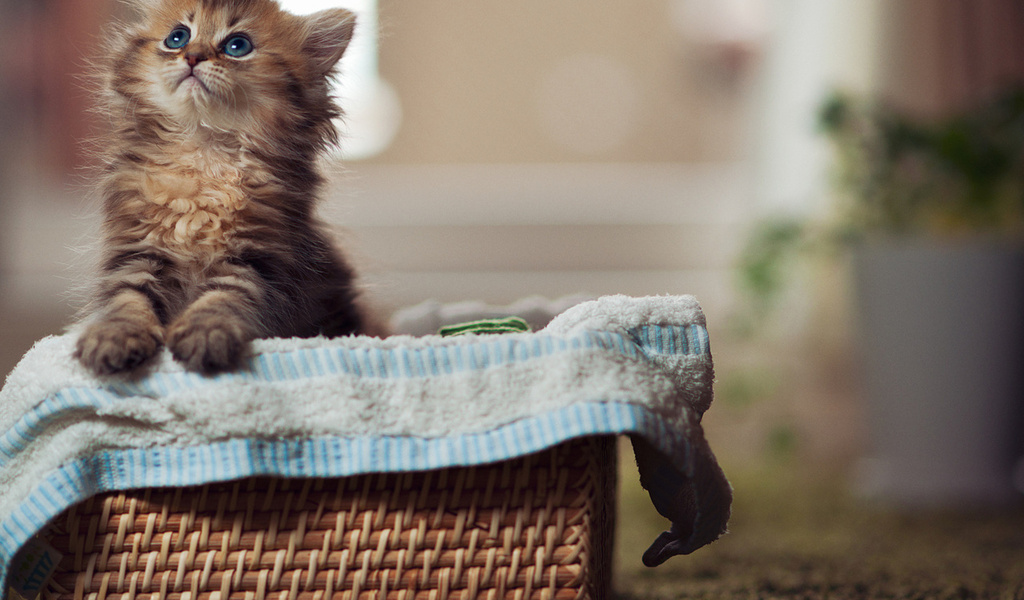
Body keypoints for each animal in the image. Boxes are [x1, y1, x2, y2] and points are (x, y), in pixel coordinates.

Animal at [74, 0, 368, 372]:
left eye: (237, 46)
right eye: (177, 37)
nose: (193, 56)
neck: (204, 153)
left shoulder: (256, 259)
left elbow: (225, 298)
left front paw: (206, 334)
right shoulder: (136, 249)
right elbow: (126, 299)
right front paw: (114, 336)